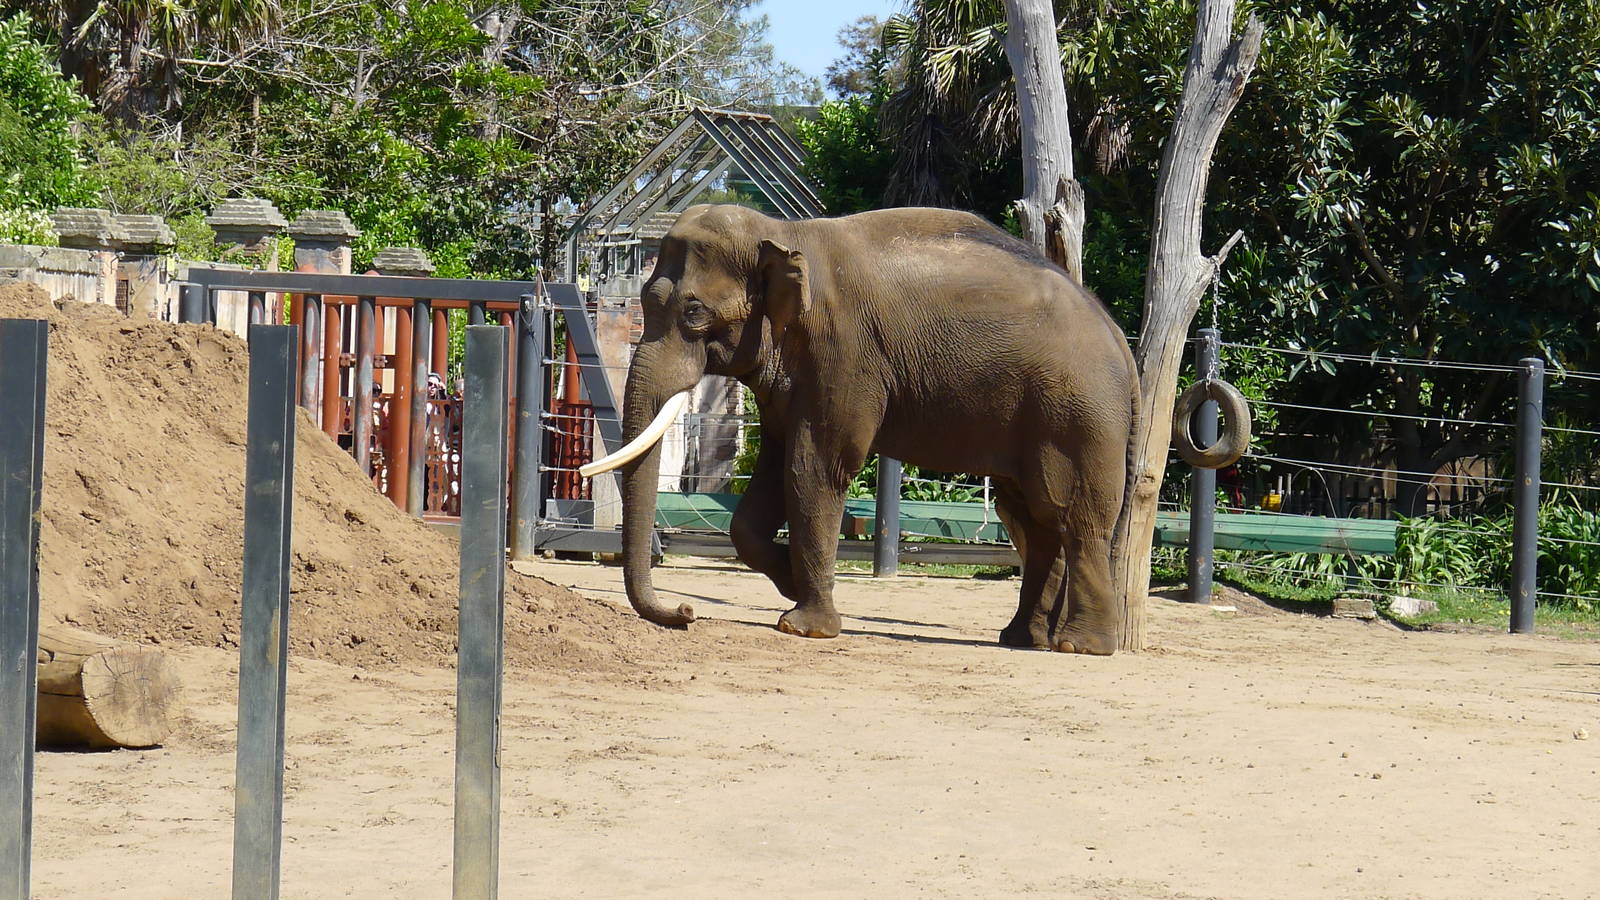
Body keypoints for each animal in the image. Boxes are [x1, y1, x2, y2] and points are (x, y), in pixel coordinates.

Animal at [581, 203, 1242, 655]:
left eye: (694, 314)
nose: (686, 611)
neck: (787, 233)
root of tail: (1121, 344)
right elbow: (769, 474)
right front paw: (792, 583)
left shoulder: (845, 355)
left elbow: (815, 466)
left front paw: (804, 626)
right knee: (1031, 515)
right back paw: (1020, 638)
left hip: (1077, 414)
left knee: (1071, 512)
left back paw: (1080, 646)